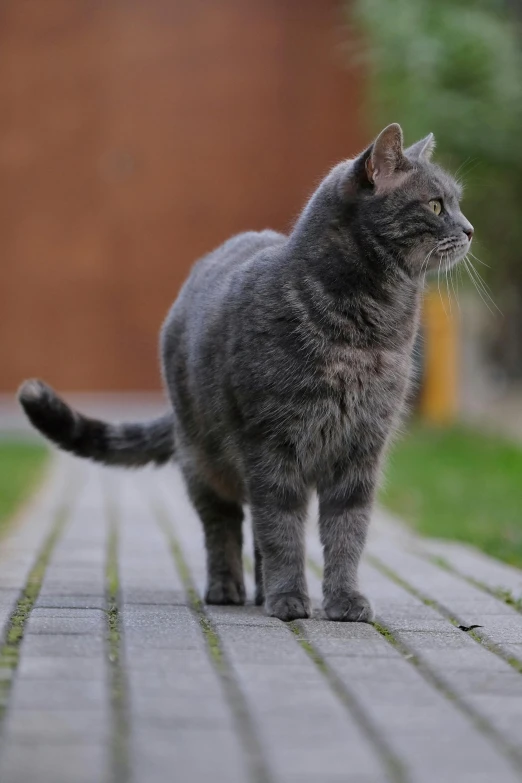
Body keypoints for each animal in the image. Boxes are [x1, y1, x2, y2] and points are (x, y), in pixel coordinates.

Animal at [19, 122, 472, 620]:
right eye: (436, 205)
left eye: (457, 202)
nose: (470, 229)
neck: (366, 329)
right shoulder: (270, 443)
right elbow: (282, 530)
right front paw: (290, 599)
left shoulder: (361, 450)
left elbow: (347, 533)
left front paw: (343, 600)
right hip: (205, 463)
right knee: (225, 526)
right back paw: (230, 589)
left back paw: (261, 592)